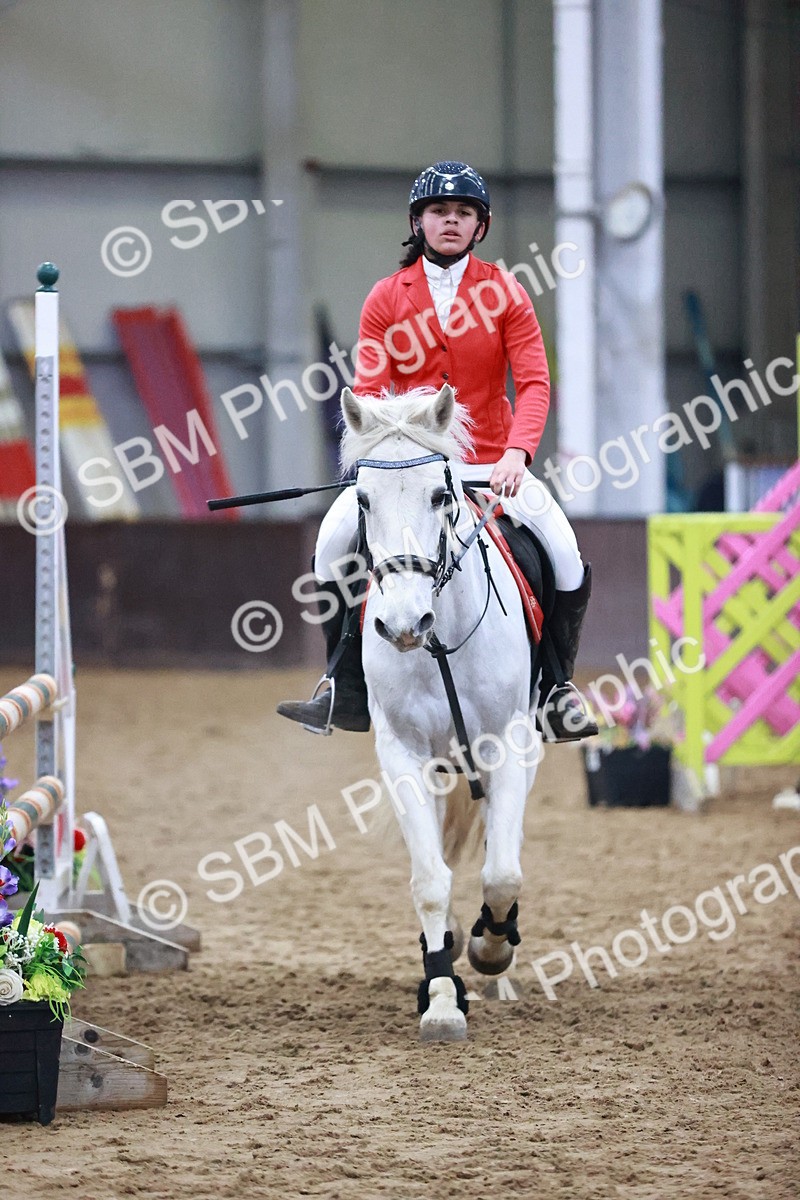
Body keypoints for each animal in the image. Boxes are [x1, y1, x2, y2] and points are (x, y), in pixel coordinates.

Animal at [340, 382, 549, 1042]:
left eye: (441, 494)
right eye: (363, 499)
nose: (405, 625)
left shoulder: (507, 747)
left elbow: (503, 871)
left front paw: (491, 950)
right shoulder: (403, 755)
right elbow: (430, 879)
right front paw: (439, 998)